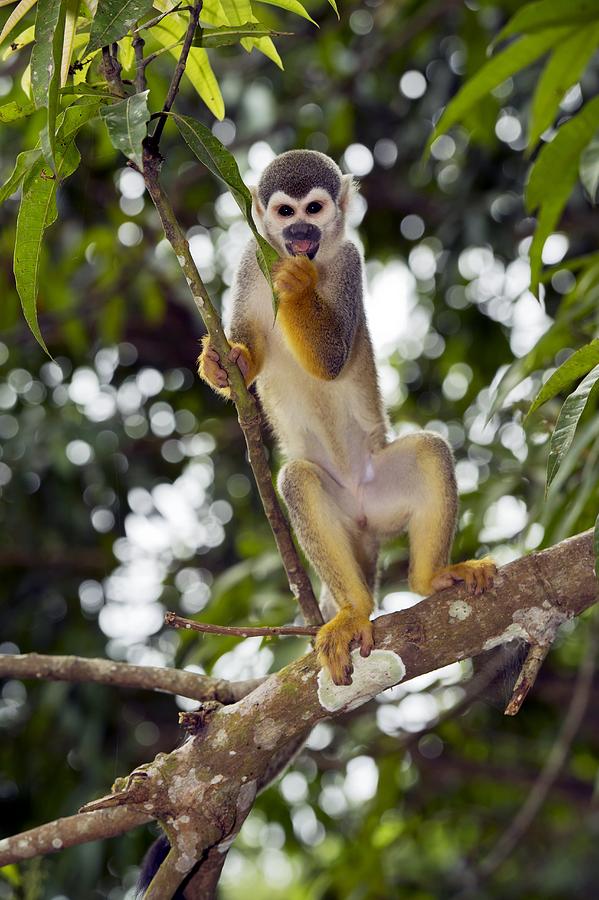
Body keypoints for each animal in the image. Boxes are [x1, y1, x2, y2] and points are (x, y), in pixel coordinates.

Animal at [199, 151, 494, 684]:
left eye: (313, 209)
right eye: (285, 212)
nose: (299, 234)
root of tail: (366, 522)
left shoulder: (352, 263)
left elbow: (332, 358)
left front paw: (297, 286)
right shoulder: (251, 262)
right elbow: (247, 354)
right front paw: (218, 362)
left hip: (383, 491)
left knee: (428, 449)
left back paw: (431, 578)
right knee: (298, 481)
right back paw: (355, 609)